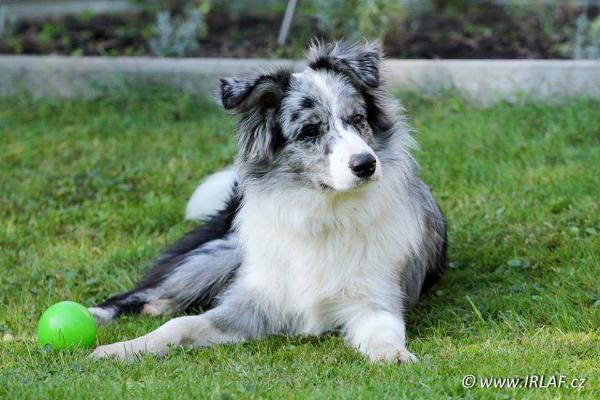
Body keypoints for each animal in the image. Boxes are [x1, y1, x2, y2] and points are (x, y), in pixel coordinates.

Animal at [88, 40, 446, 362]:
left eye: (358, 118)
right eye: (310, 130)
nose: (366, 164)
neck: (323, 213)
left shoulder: (374, 299)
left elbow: (384, 329)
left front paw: (391, 353)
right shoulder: (255, 300)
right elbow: (181, 325)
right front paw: (123, 348)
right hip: (219, 252)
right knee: (140, 290)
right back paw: (105, 312)